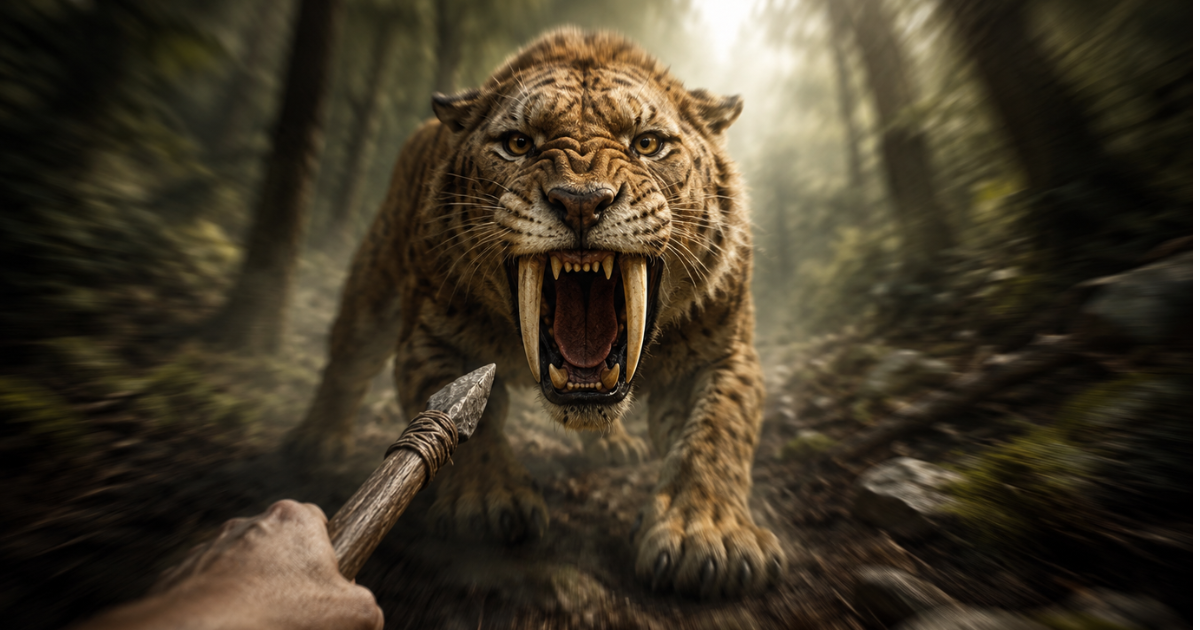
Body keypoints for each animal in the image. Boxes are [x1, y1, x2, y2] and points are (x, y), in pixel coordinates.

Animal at [285, 28, 784, 598]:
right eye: (519, 143)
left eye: (648, 143)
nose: (582, 202)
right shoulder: (430, 337)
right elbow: (468, 422)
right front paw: (488, 502)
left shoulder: (726, 353)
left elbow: (718, 433)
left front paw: (707, 536)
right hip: (375, 279)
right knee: (349, 355)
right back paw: (317, 440)